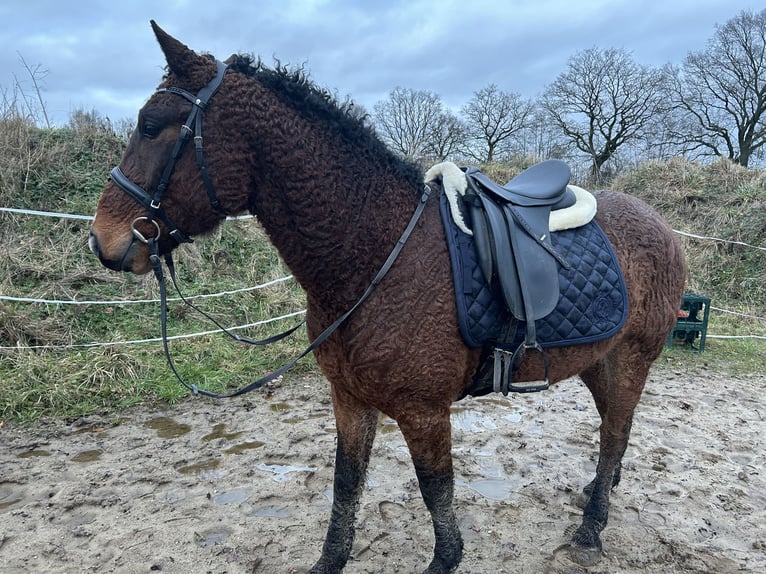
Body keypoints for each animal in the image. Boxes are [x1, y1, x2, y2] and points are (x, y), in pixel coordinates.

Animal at [87, 20, 688, 572]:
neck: (373, 257)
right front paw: (330, 560)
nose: (102, 240)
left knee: (615, 432)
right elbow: (346, 483)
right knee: (615, 433)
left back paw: (591, 527)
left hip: (632, 359)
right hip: (598, 361)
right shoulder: (350, 399)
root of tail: (660, 223)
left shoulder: (423, 412)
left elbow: (436, 494)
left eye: (150, 126)